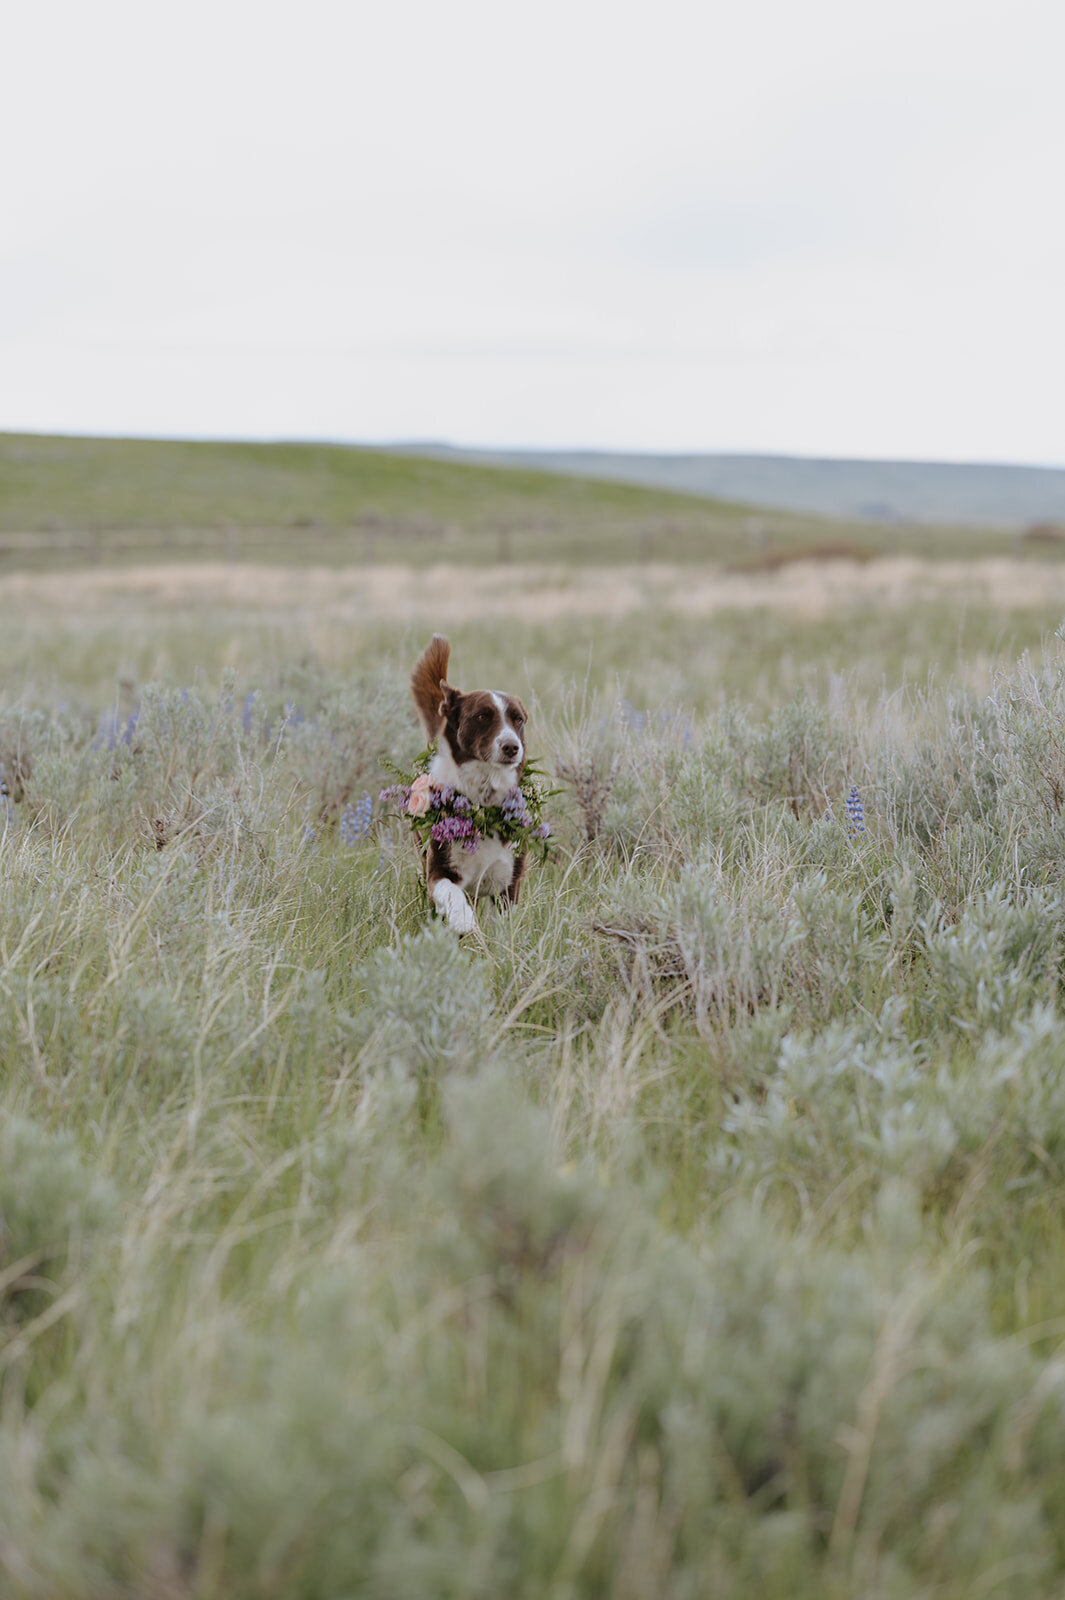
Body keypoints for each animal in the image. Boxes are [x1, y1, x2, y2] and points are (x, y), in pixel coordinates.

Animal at [409, 630, 530, 934]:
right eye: (482, 716)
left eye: (518, 720)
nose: (512, 747)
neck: (483, 804)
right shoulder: (439, 870)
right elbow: (450, 893)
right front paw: (463, 920)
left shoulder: (508, 881)